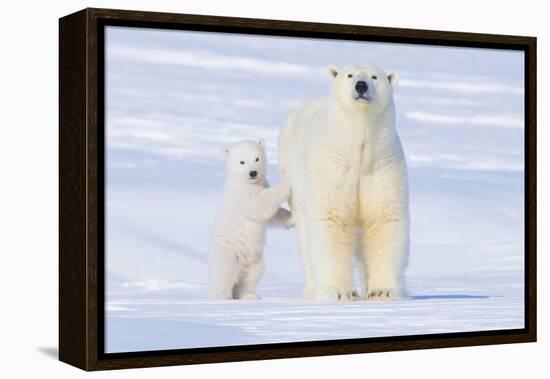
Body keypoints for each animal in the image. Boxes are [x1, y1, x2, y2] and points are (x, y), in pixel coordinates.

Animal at [208, 138, 294, 302]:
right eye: (242, 162)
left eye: (257, 158)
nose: (253, 173)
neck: (247, 182)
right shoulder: (242, 195)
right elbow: (259, 204)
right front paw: (287, 184)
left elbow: (271, 215)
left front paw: (292, 220)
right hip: (228, 252)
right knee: (225, 273)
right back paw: (222, 296)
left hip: (254, 259)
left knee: (253, 274)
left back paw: (248, 295)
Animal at [280, 65, 410, 302]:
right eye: (350, 75)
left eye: (375, 77)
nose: (361, 86)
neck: (358, 151)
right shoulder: (332, 167)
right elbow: (332, 219)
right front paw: (342, 292)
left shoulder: (382, 165)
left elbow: (383, 219)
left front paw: (382, 291)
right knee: (305, 239)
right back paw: (312, 290)